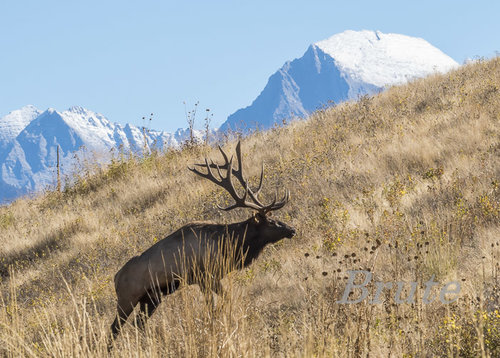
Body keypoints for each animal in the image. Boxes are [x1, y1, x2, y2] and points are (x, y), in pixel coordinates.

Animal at [108, 141, 294, 346]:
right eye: (271, 222)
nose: (292, 230)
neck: (227, 245)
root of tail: (115, 278)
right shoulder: (205, 276)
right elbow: (219, 303)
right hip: (127, 299)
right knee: (114, 328)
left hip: (151, 298)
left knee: (138, 323)